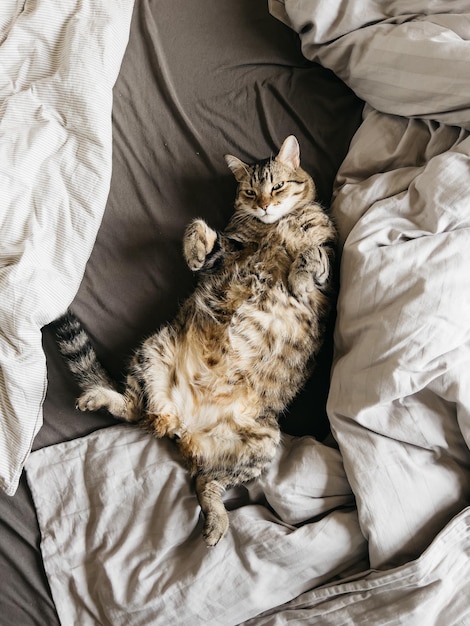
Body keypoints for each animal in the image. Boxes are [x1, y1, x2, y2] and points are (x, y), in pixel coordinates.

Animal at [56, 134, 334, 544]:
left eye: (278, 186)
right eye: (250, 192)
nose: (265, 205)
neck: (274, 228)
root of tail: (182, 424)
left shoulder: (325, 270)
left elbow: (311, 260)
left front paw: (300, 270)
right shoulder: (228, 255)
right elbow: (202, 233)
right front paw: (195, 246)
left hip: (263, 443)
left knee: (206, 482)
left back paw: (216, 522)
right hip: (153, 351)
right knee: (137, 412)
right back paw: (99, 398)